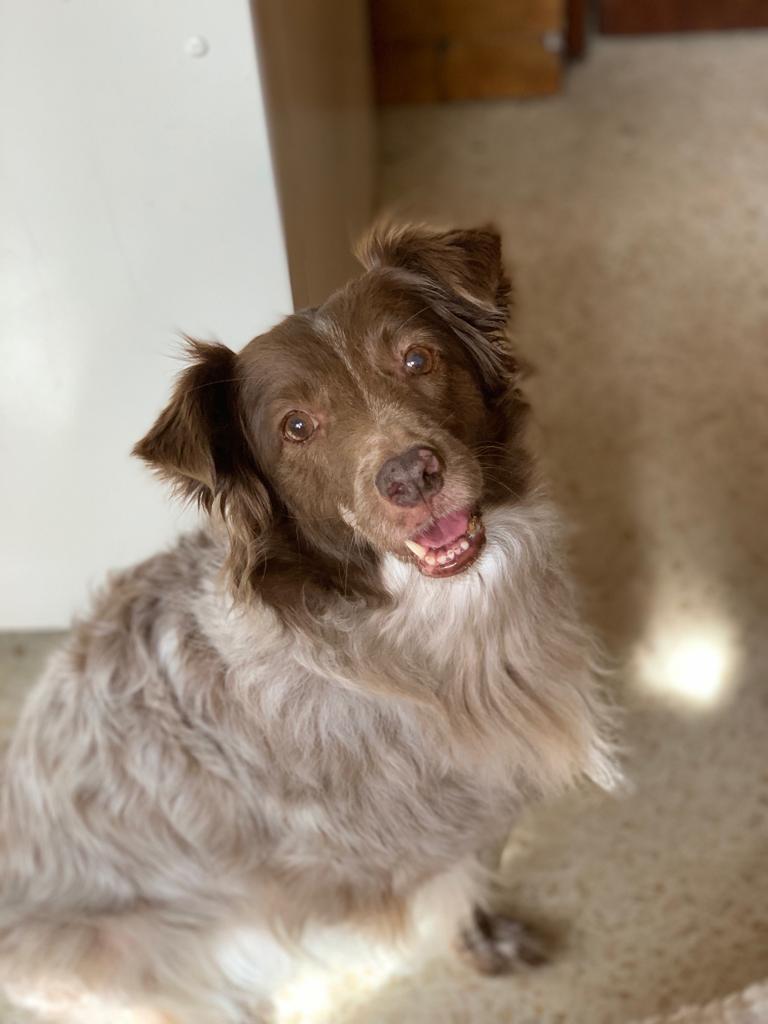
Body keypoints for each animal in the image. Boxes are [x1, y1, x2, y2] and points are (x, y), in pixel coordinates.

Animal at [0, 224, 618, 1022]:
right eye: (296, 427)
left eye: (418, 359)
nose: (410, 475)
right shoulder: (416, 835)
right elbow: (459, 886)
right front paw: (479, 940)